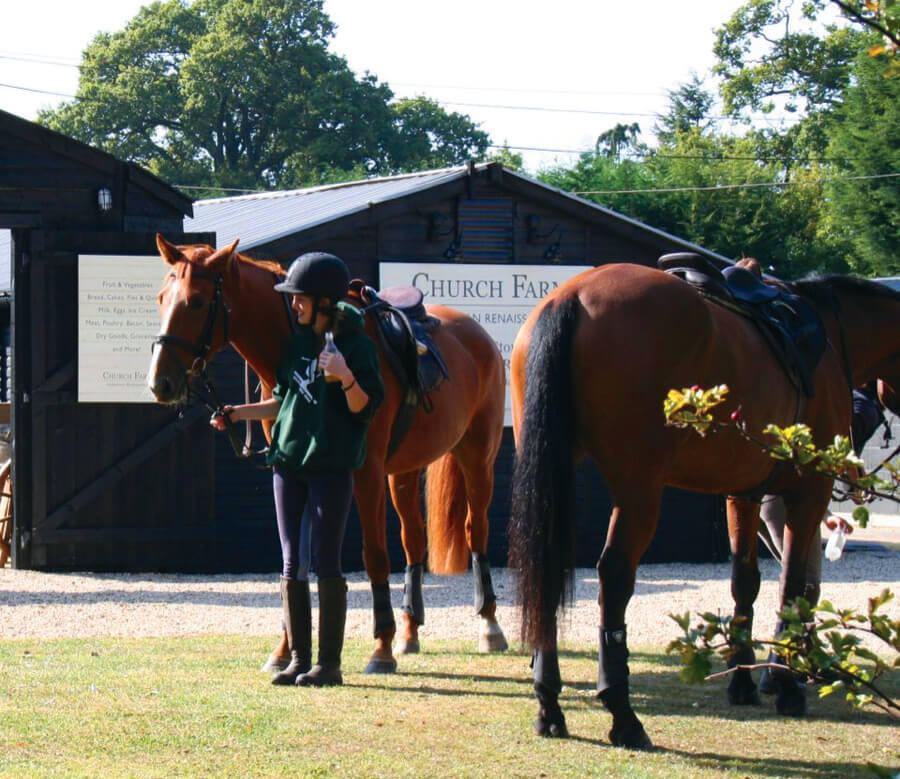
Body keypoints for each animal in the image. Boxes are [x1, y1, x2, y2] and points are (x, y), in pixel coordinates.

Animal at [147, 235, 508, 673]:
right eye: (161, 299)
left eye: (197, 302)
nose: (160, 383)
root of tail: (476, 334)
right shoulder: (293, 466)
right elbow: (297, 560)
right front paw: (286, 649)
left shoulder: (364, 473)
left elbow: (374, 556)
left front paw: (381, 647)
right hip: (403, 472)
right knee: (413, 541)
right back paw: (409, 632)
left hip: (477, 456)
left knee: (476, 531)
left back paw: (489, 625)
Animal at [507, 262, 900, 747]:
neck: (829, 332)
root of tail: (573, 296)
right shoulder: (809, 492)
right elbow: (793, 587)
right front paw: (786, 684)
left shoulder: (744, 494)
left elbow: (745, 584)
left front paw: (744, 680)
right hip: (639, 487)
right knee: (614, 577)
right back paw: (623, 712)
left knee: (548, 566)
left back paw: (549, 701)